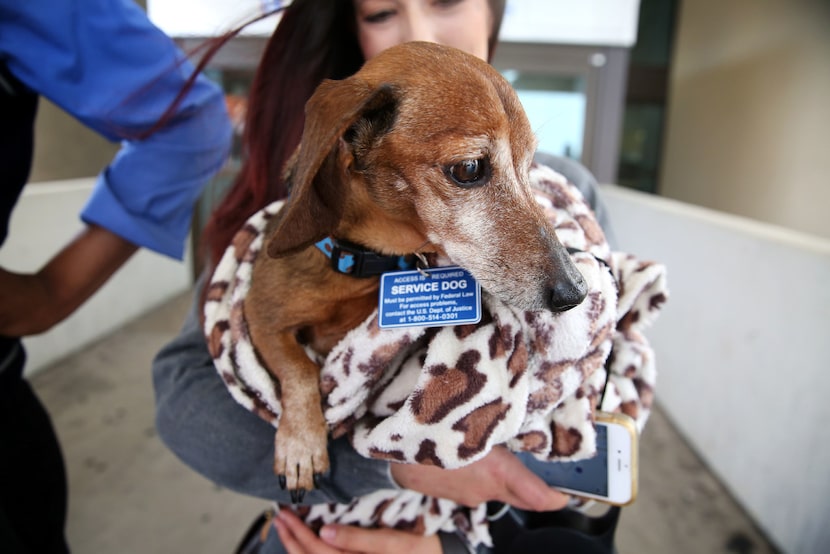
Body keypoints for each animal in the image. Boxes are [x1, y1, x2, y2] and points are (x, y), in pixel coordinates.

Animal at [244, 41, 588, 498]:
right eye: (469, 168)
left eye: (528, 166)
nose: (576, 291)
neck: (361, 262)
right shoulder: (259, 317)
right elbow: (301, 368)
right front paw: (301, 446)